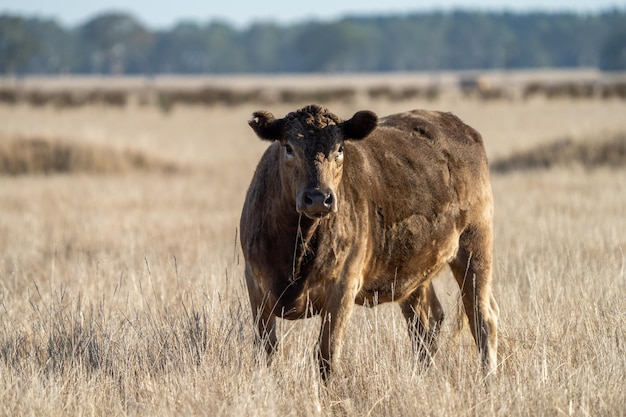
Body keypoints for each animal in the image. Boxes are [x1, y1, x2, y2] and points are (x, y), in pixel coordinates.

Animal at [239, 104, 498, 376]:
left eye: (339, 149)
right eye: (288, 147)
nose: (319, 198)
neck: (297, 251)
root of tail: (454, 122)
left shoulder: (342, 288)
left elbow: (327, 355)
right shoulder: (255, 286)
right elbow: (266, 350)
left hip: (475, 246)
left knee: (482, 317)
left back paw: (488, 377)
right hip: (415, 269)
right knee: (426, 322)